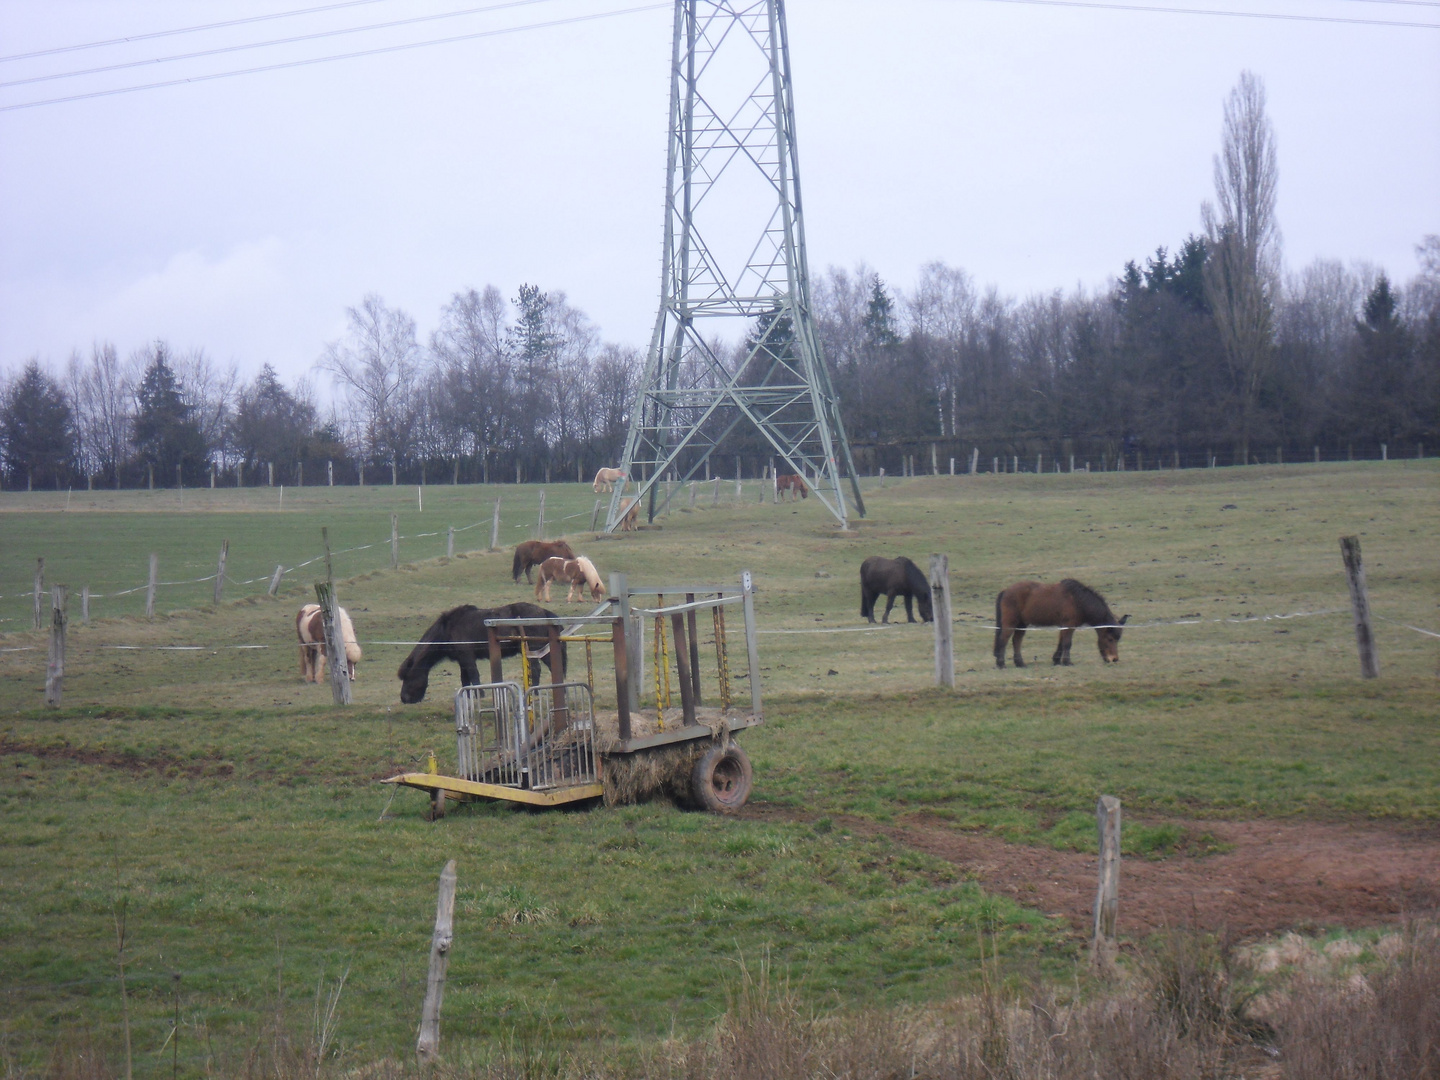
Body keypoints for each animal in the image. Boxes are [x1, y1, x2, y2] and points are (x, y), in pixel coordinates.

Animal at [403, 596, 570, 705]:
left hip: (536, 650)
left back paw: (536, 692)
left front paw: (480, 695)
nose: (404, 699)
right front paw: (469, 696)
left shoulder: (468, 657)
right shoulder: (462, 660)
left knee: (538, 669)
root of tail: (543, 612)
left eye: (408, 677)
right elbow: (465, 679)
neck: (447, 630)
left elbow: (474, 676)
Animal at [996, 584, 1128, 668]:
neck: (1077, 600)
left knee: (1017, 641)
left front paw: (1056, 660)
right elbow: (1067, 643)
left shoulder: (1064, 626)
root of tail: (1006, 591)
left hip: (1022, 624)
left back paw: (1020, 663)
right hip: (1011, 622)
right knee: (1004, 640)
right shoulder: (1069, 625)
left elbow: (1061, 642)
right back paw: (1001, 664)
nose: (1114, 659)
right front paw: (1067, 662)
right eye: (1110, 639)